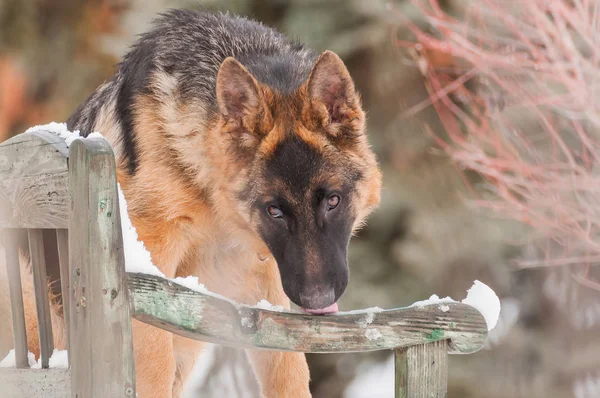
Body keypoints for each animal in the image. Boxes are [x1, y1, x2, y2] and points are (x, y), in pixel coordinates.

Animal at [2, 9, 382, 398]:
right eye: (274, 210)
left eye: (333, 200)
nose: (318, 300)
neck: (208, 194)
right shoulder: (150, 274)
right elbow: (155, 366)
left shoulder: (263, 283)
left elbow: (287, 369)